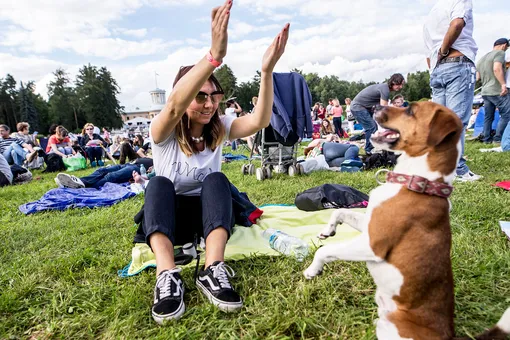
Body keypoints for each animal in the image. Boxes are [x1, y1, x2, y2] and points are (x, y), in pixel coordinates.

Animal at [304, 102, 508, 338]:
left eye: (410, 109)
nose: (374, 105)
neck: (415, 182)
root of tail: (450, 334)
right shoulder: (370, 225)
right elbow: (339, 213)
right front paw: (327, 231)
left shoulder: (373, 245)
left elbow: (324, 251)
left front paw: (313, 269)